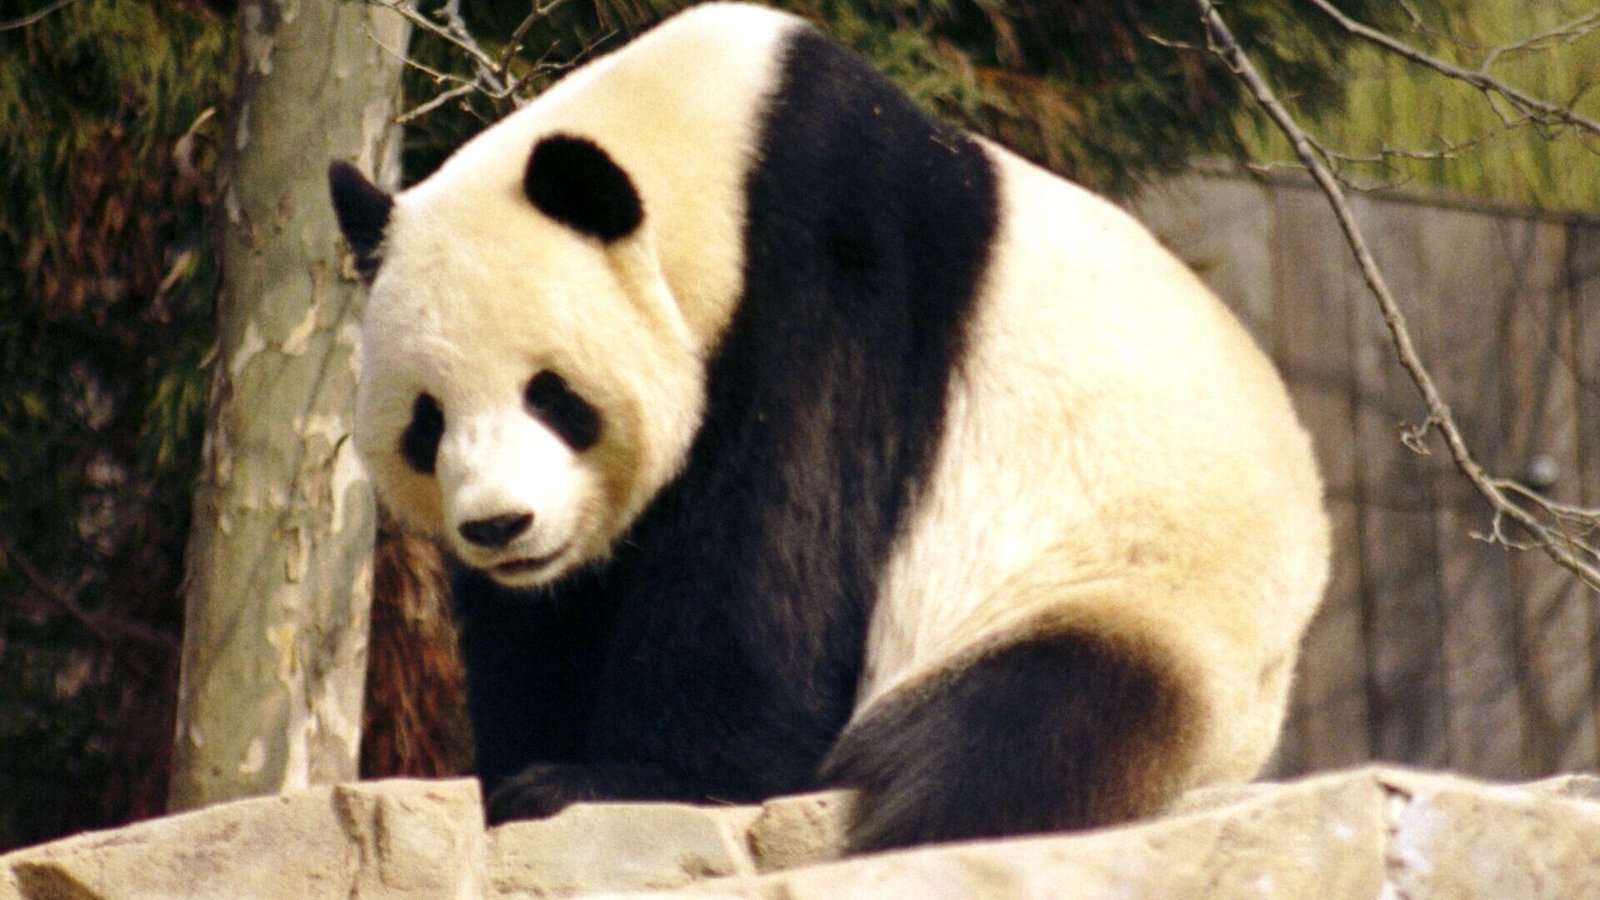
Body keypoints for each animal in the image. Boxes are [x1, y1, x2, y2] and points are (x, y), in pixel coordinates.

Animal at [328, 1, 1327, 853]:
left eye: (552, 395)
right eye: (427, 422)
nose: (501, 527)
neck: (714, 152)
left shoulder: (833, 278)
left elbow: (778, 550)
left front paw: (616, 779)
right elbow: (549, 617)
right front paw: (523, 768)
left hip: (1131, 592)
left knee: (1021, 734)